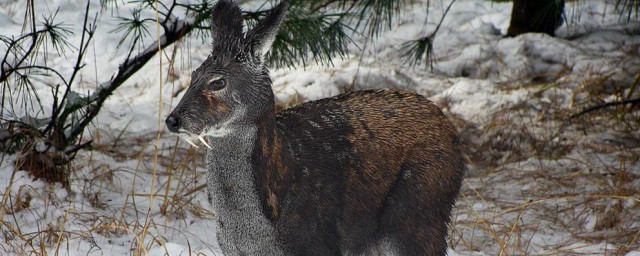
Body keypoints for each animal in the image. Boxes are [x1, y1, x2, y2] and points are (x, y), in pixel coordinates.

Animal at [165, 1, 464, 255]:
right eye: (193, 75)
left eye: (218, 82)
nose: (173, 120)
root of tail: (450, 130)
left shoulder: (316, 242)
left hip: (418, 209)